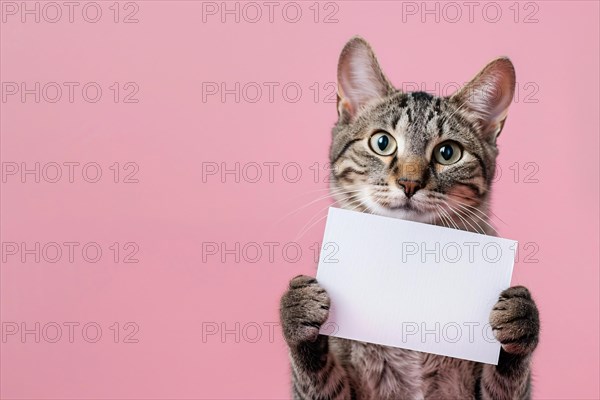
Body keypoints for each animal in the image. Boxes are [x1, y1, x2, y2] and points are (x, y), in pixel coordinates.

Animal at [280, 37, 540, 400]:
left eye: (448, 153)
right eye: (382, 142)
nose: (409, 182)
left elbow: (507, 380)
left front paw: (521, 318)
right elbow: (316, 375)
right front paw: (297, 309)